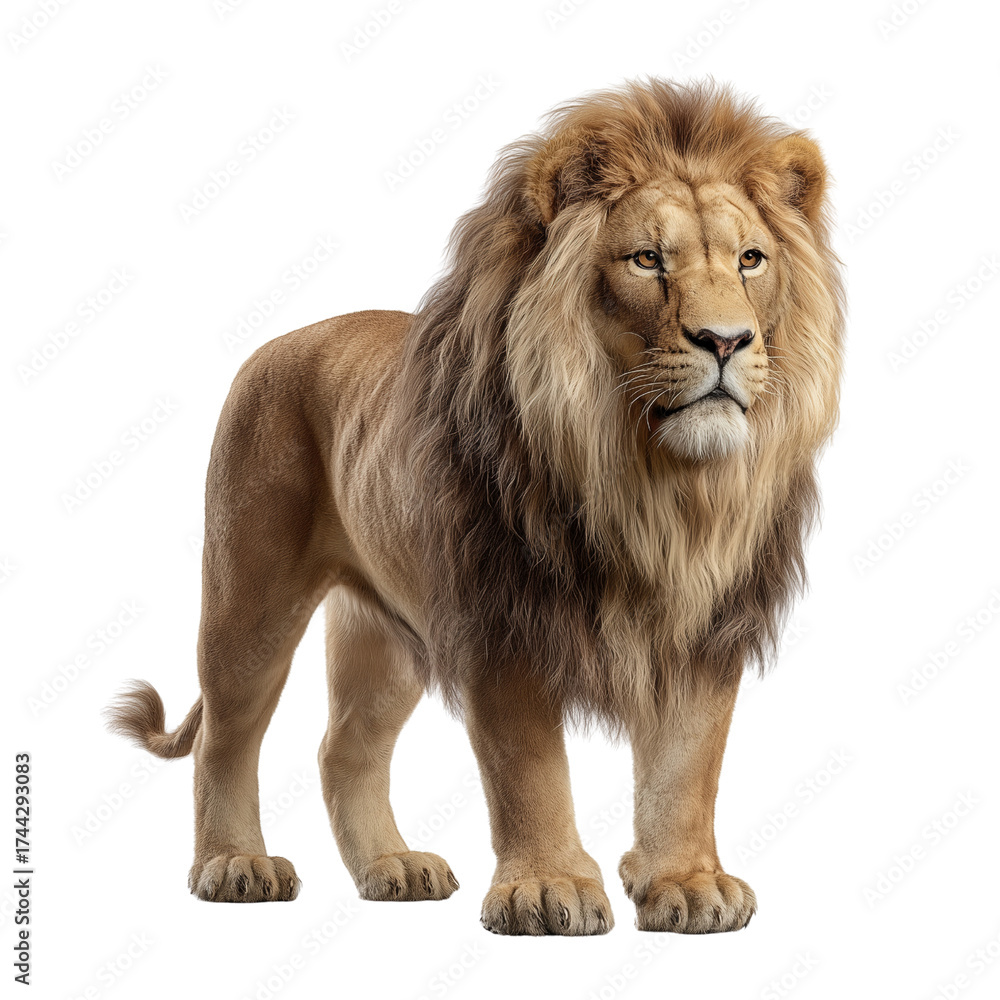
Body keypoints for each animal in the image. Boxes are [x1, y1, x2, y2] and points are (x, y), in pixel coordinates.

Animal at [107, 78, 843, 935]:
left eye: (751, 260)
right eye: (647, 259)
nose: (727, 341)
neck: (650, 482)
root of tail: (282, 341)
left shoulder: (705, 623)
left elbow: (688, 765)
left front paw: (686, 884)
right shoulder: (504, 616)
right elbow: (529, 767)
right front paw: (549, 888)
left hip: (388, 631)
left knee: (344, 749)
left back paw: (394, 868)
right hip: (249, 594)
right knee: (227, 735)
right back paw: (234, 865)